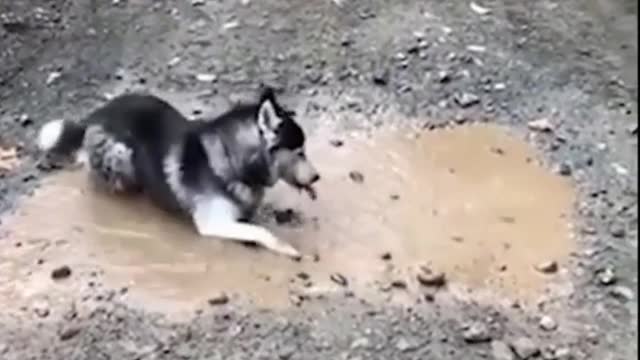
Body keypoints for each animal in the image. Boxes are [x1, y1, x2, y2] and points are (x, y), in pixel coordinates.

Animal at [36, 89, 320, 258]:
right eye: (300, 152)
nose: (317, 177)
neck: (230, 158)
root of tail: (95, 116)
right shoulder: (212, 223)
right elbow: (261, 232)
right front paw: (285, 246)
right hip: (119, 153)